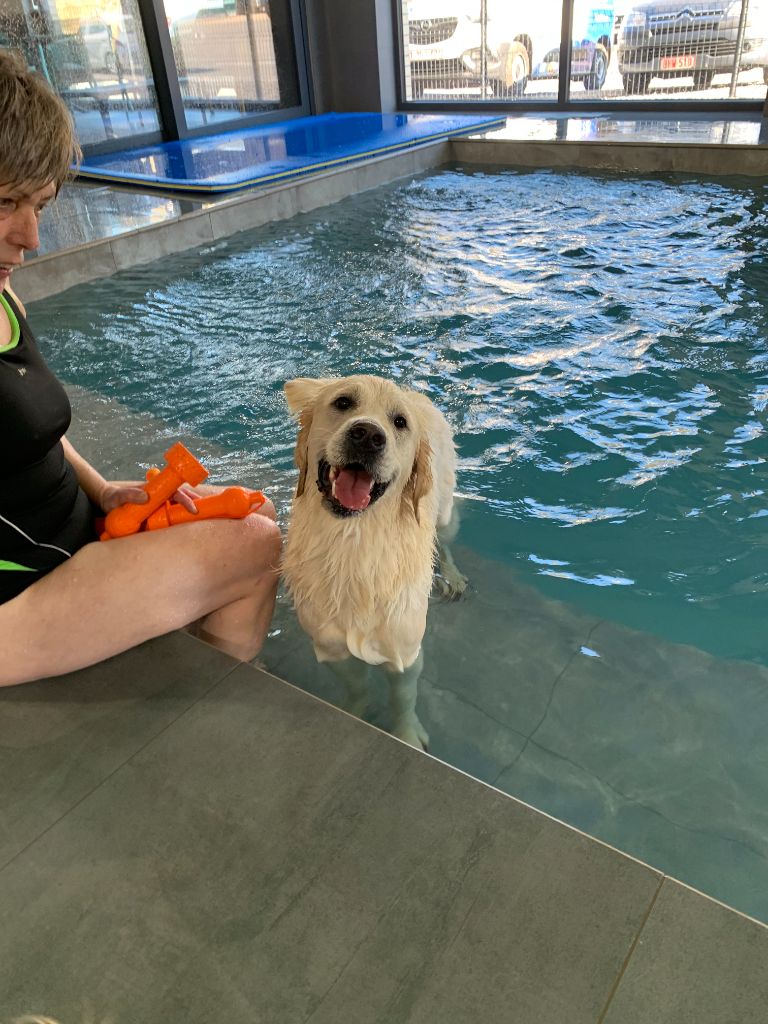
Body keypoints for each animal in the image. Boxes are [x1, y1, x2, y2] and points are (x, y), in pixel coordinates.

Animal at [280, 372, 466, 749]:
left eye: (400, 422)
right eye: (343, 402)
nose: (367, 435)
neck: (355, 539)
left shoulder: (404, 651)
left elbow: (403, 698)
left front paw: (406, 734)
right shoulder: (332, 646)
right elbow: (357, 685)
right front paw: (355, 711)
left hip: (443, 513)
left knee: (443, 540)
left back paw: (452, 576)